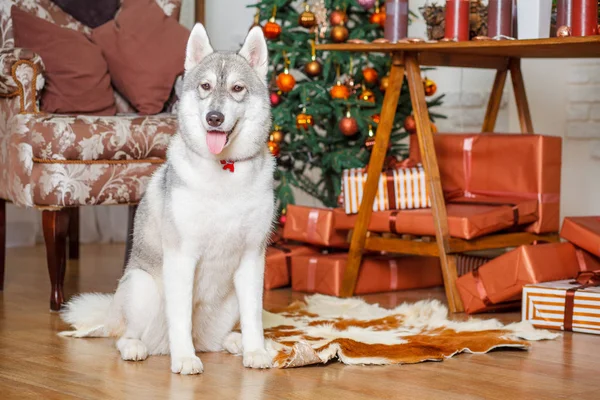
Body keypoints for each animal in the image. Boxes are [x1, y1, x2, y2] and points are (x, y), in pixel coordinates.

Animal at [59, 24, 276, 376]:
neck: (224, 171)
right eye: (205, 86)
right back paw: (137, 347)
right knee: (124, 337)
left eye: (237, 88)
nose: (214, 117)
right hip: (142, 287)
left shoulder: (252, 258)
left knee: (215, 338)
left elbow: (254, 316)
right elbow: (181, 318)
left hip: (228, 300)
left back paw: (236, 342)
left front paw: (256, 350)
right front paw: (185, 358)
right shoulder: (182, 256)